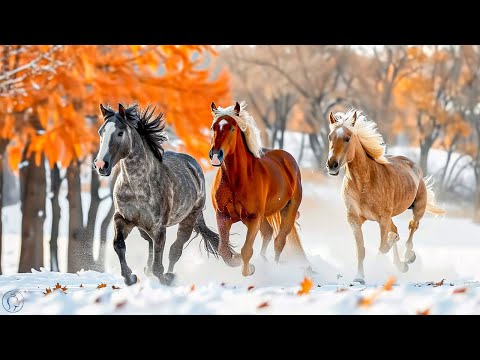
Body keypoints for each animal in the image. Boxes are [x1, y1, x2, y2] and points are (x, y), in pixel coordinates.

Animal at [93, 102, 219, 286]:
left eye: (120, 133)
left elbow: (158, 265)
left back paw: (170, 275)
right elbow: (119, 245)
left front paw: (164, 278)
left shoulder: (159, 227)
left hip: (189, 219)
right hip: (143, 228)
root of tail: (193, 165)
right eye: (101, 132)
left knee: (175, 249)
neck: (137, 187)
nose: (101, 165)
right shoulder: (122, 218)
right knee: (151, 244)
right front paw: (130, 277)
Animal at [207, 100, 306, 276]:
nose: (216, 155)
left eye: (232, 128)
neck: (236, 179)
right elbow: (223, 251)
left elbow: (247, 250)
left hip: (288, 210)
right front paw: (236, 258)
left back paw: (274, 266)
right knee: (268, 232)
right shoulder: (223, 216)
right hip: (262, 216)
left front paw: (250, 269)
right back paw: (264, 260)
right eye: (213, 127)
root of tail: (288, 159)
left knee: (279, 241)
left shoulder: (253, 218)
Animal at [326, 109, 446, 284]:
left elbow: (383, 247)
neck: (364, 183)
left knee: (412, 226)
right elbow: (361, 249)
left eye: (347, 138)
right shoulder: (354, 219)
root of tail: (414, 166)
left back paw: (408, 256)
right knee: (396, 229)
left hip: (418, 207)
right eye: (330, 137)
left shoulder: (382, 219)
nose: (332, 165)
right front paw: (359, 277)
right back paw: (401, 265)